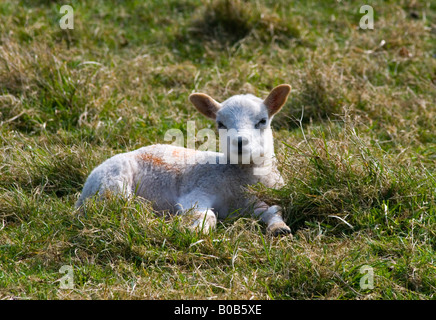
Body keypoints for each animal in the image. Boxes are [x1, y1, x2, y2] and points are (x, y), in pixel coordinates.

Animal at [76, 84, 292, 235]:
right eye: (220, 123)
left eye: (262, 121)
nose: (239, 143)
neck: (240, 175)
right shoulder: (199, 190)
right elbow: (206, 215)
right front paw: (194, 231)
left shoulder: (252, 200)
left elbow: (273, 209)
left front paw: (279, 228)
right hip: (112, 184)